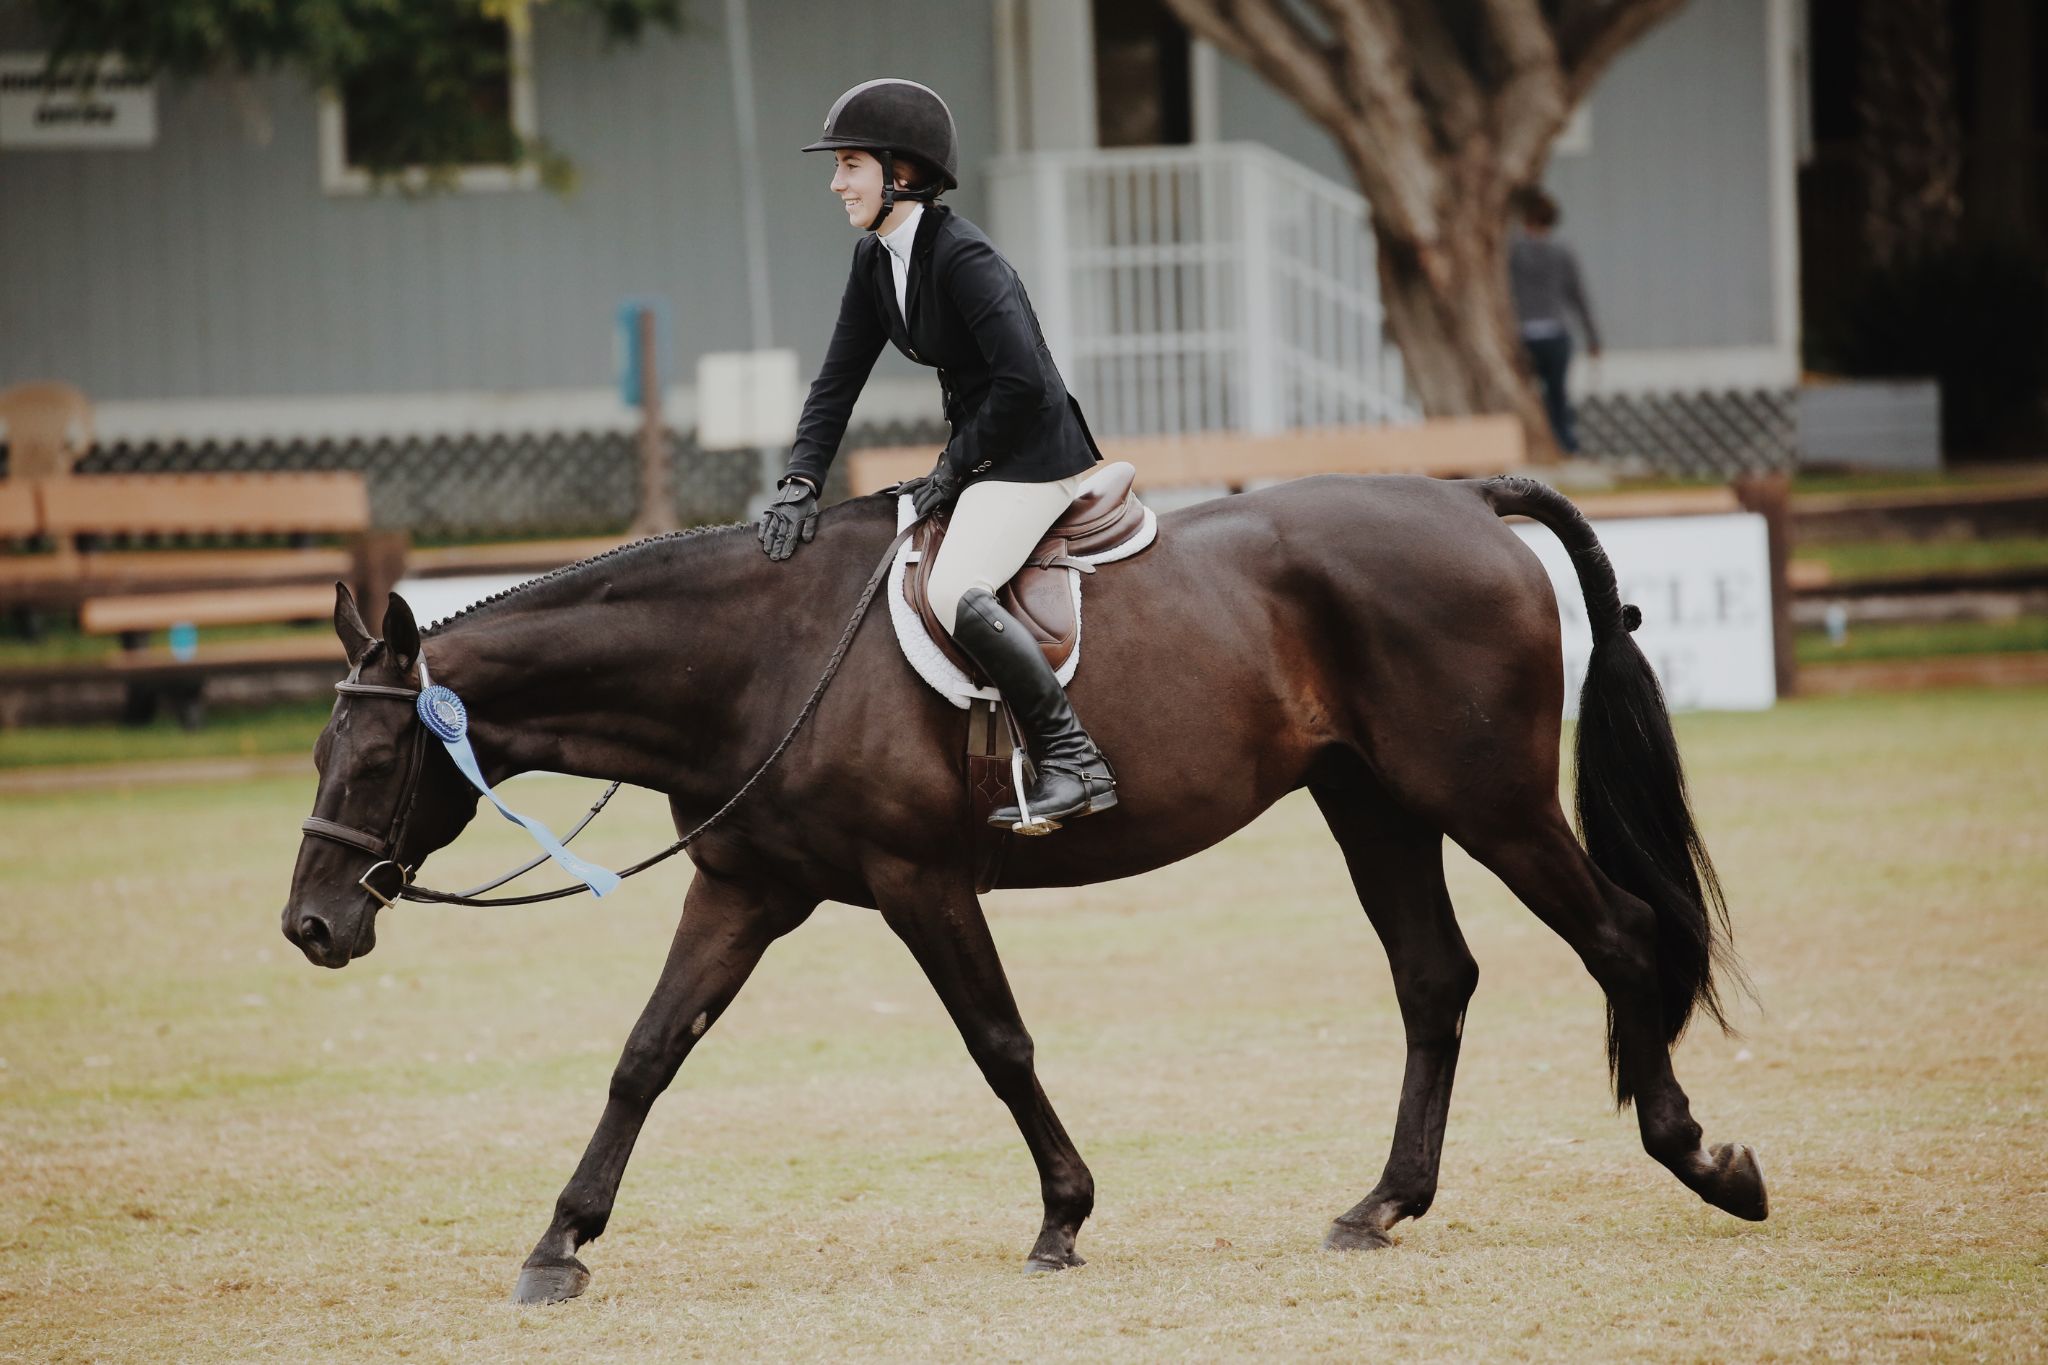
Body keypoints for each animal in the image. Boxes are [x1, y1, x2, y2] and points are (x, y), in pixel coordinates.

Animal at [280, 473, 1766, 1305]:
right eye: (320, 754)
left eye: (374, 759)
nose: (310, 926)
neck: (758, 657)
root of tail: (1464, 503)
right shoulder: (747, 889)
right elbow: (647, 1056)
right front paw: (560, 1242)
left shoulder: (920, 880)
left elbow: (998, 1045)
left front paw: (1063, 1217)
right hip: (1372, 804)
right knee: (1434, 980)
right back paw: (1383, 1203)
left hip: (1485, 800)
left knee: (1621, 938)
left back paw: (1700, 1157)